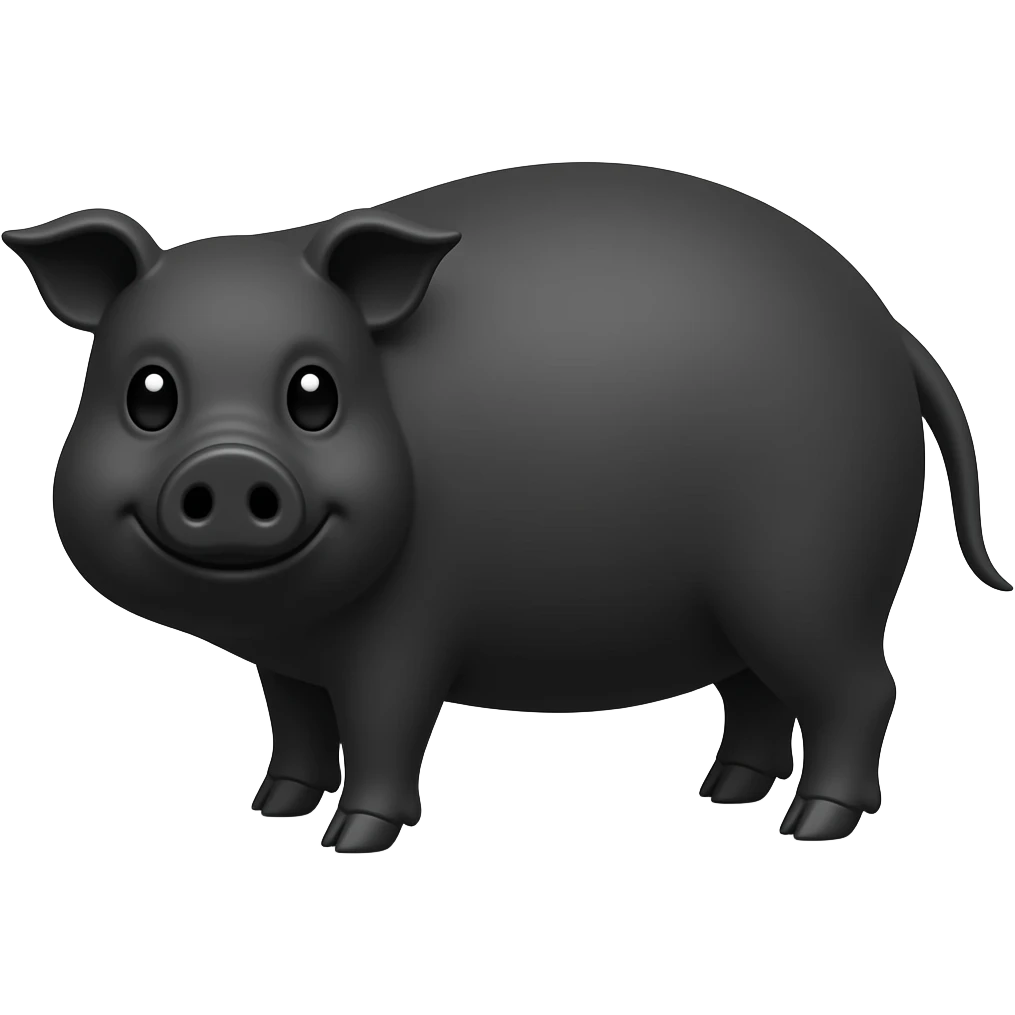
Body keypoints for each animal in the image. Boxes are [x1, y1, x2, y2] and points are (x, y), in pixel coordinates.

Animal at [6, 162, 1008, 853]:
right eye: (148, 392)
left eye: (313, 391)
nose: (225, 468)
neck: (282, 616)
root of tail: (889, 331)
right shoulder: (285, 661)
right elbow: (296, 726)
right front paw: (272, 811)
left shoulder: (407, 626)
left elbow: (385, 727)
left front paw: (348, 840)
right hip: (742, 610)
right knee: (760, 693)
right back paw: (720, 794)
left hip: (807, 577)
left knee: (863, 688)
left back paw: (810, 826)